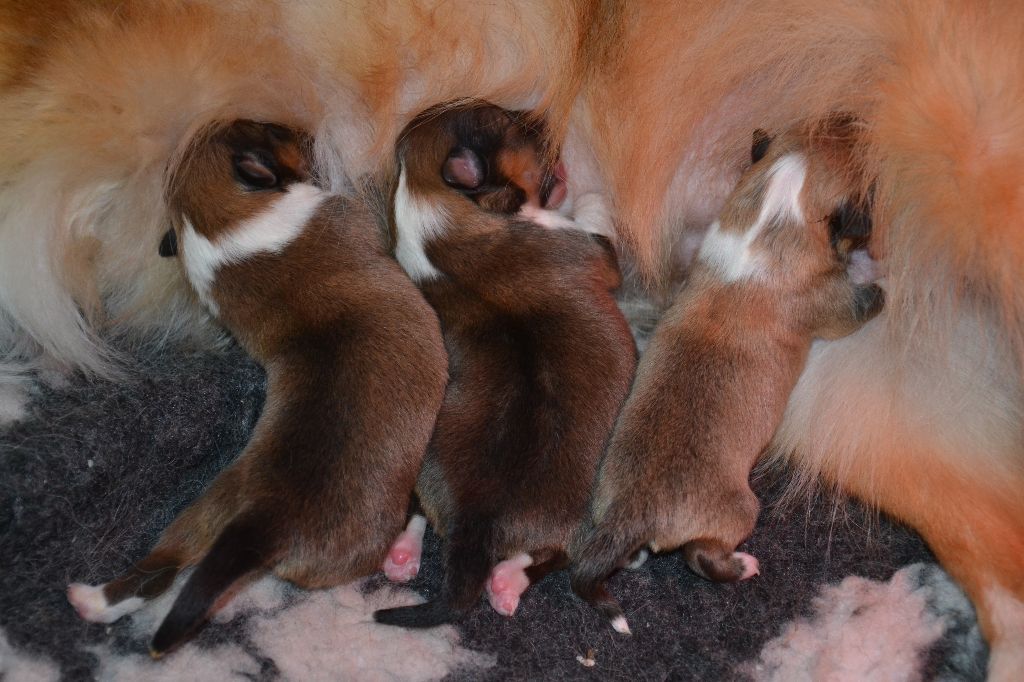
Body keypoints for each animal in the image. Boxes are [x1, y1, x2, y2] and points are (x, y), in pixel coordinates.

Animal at [66, 118, 446, 655]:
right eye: (271, 129)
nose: (305, 128)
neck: (217, 226)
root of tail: (267, 523)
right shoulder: (340, 212)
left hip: (209, 507)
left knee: (162, 569)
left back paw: (94, 601)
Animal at [372, 102, 634, 626]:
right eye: (510, 122)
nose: (544, 112)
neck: (425, 202)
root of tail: (480, 520)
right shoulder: (590, 248)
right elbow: (591, 220)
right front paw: (590, 192)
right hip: (580, 512)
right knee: (552, 556)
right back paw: (507, 582)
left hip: (425, 463)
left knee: (417, 509)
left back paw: (404, 554)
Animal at [573, 118, 884, 630]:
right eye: (861, 165)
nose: (855, 119)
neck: (772, 213)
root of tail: (632, 513)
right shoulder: (836, 306)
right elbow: (865, 299)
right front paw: (878, 275)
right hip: (739, 510)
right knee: (702, 557)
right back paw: (741, 566)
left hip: (604, 497)